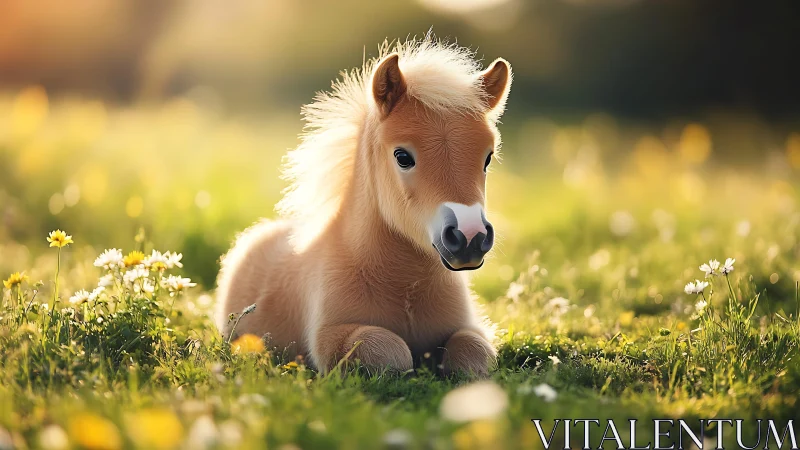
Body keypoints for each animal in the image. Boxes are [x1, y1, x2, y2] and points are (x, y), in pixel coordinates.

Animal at [215, 38, 512, 376]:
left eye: (488, 157)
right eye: (402, 156)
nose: (470, 237)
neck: (405, 287)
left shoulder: (470, 328)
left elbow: (472, 354)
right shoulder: (332, 338)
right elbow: (391, 351)